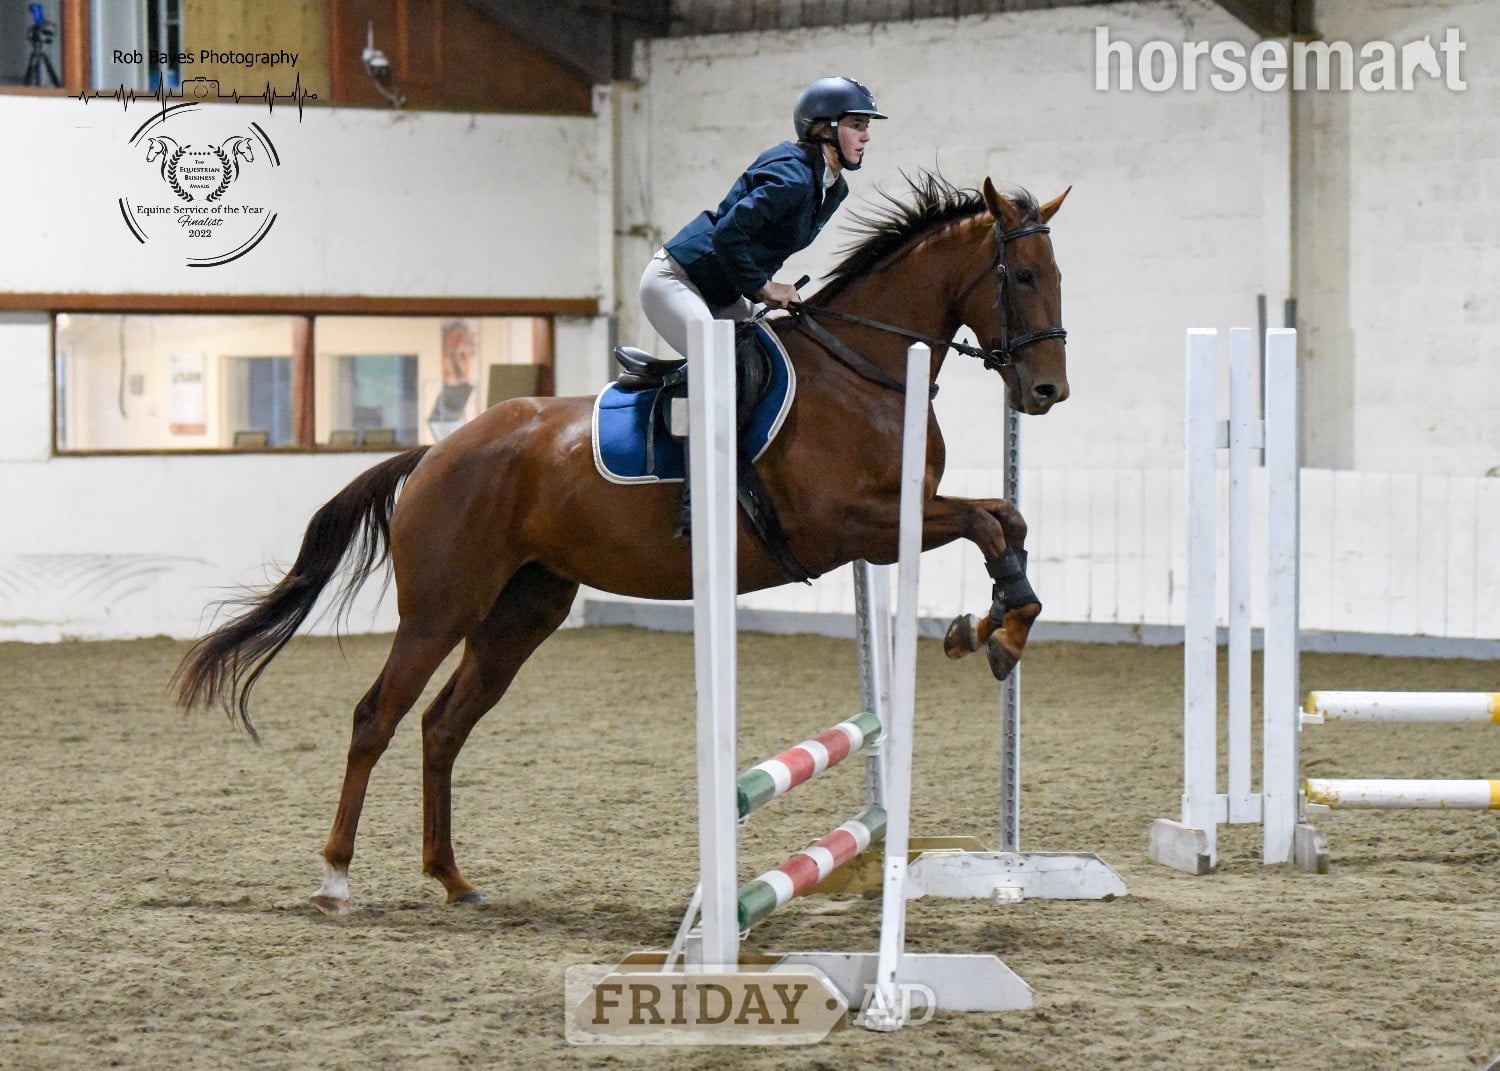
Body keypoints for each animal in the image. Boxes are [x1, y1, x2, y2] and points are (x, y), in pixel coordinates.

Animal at [174, 172, 1072, 915]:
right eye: (1023, 276)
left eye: (1058, 276)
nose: (1047, 391)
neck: (864, 368)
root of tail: (434, 453)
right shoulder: (858, 525)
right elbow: (987, 520)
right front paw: (992, 630)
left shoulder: (898, 516)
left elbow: (1007, 520)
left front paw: (996, 624)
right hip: (440, 608)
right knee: (376, 717)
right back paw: (334, 877)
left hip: (522, 611)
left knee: (442, 725)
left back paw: (452, 877)